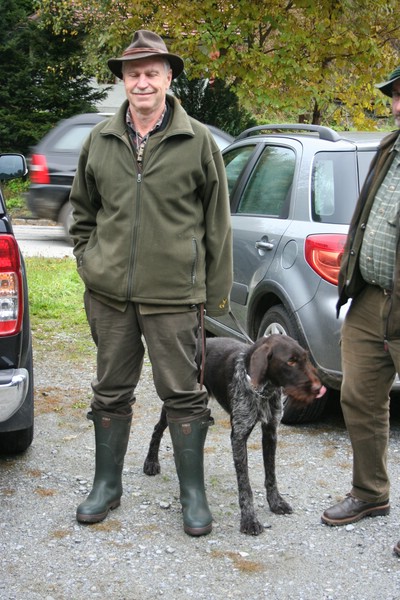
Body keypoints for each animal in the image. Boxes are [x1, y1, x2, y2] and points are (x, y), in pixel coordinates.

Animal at [144, 336, 324, 536]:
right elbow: (245, 485)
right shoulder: (239, 436)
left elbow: (271, 474)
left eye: (306, 358)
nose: (319, 388)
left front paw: (275, 502)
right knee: (157, 429)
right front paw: (249, 519)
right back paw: (151, 462)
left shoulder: (270, 431)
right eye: (290, 361)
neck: (263, 391)